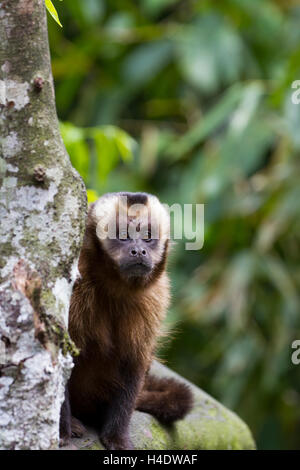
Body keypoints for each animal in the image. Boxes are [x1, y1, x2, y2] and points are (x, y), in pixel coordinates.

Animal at [59, 192, 193, 452]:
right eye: (123, 236)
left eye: (148, 237)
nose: (139, 250)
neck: (114, 288)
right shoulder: (74, 285)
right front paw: (61, 432)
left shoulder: (155, 299)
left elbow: (134, 362)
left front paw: (117, 437)